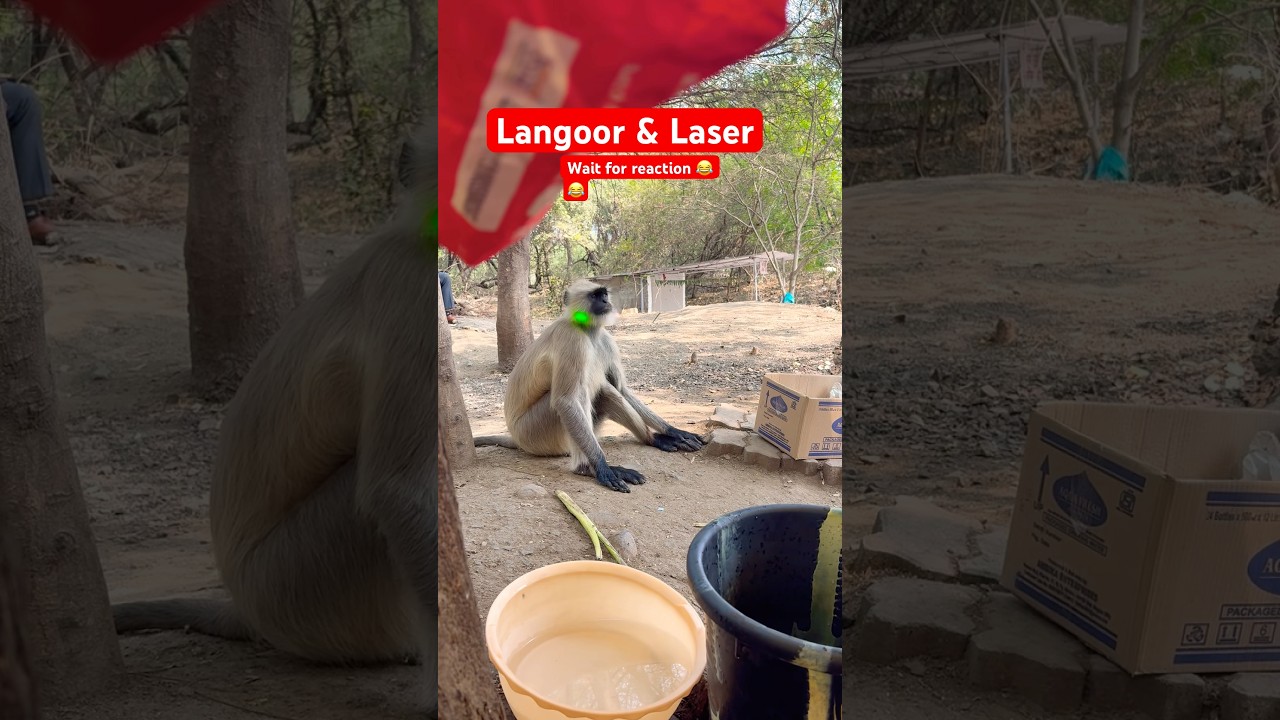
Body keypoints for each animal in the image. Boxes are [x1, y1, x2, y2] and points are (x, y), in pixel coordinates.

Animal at [474, 280, 705, 492]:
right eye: (594, 296)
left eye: (603, 294)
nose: (605, 301)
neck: (588, 330)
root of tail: (517, 438)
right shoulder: (572, 340)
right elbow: (566, 401)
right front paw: (603, 467)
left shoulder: (607, 340)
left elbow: (622, 389)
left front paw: (674, 431)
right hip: (534, 432)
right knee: (577, 395)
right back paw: (585, 467)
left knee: (608, 391)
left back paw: (653, 439)